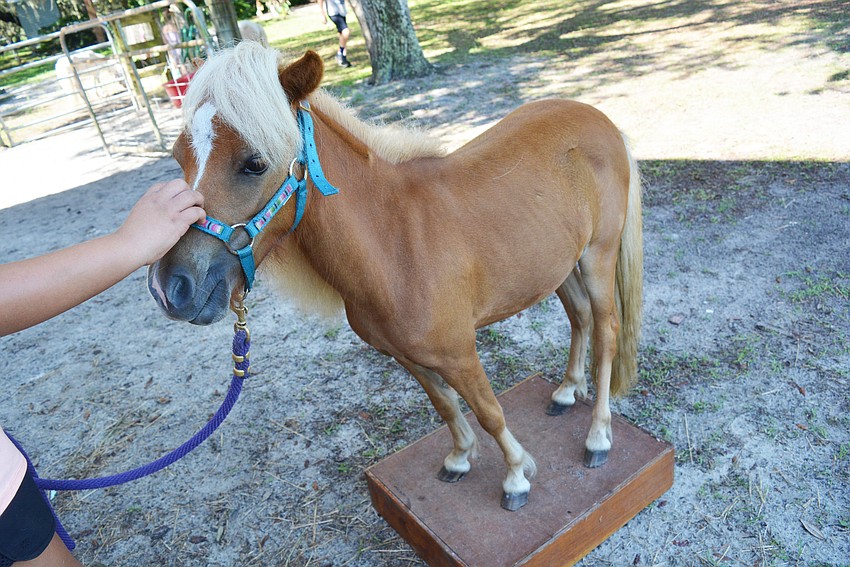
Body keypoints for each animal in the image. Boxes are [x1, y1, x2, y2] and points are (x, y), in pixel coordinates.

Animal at [148, 42, 643, 511]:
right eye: (178, 157)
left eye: (254, 163)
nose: (172, 288)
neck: (394, 244)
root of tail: (598, 118)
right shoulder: (405, 355)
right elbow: (445, 404)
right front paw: (460, 458)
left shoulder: (460, 353)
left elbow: (489, 411)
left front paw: (517, 475)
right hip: (558, 266)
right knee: (579, 318)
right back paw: (566, 392)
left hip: (598, 257)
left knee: (606, 331)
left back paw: (598, 435)